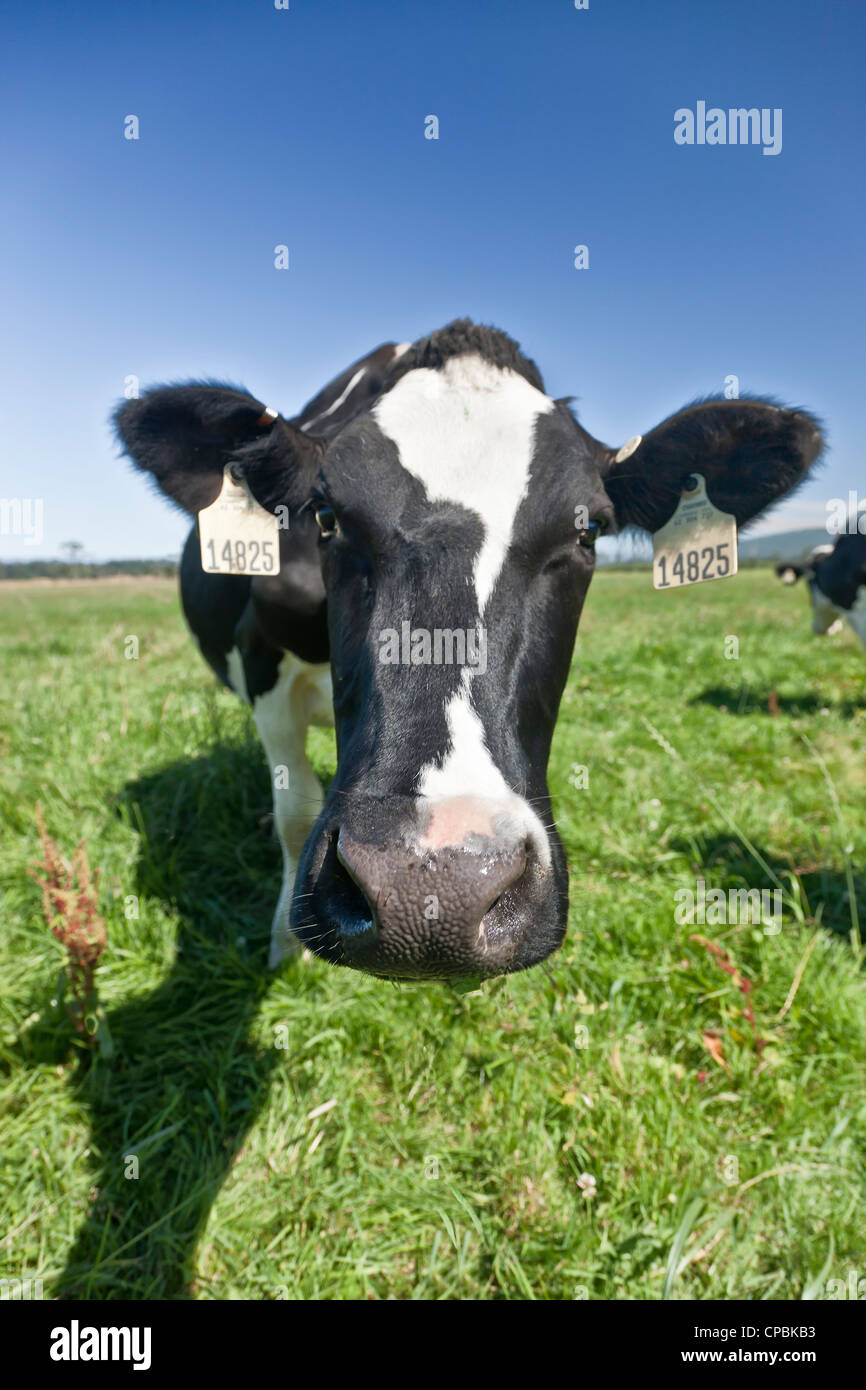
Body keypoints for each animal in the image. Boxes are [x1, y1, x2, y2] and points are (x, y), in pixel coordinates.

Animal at [115, 319, 823, 981]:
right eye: (325, 514)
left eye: (589, 528)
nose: (430, 889)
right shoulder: (262, 665)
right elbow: (294, 808)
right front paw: (285, 950)